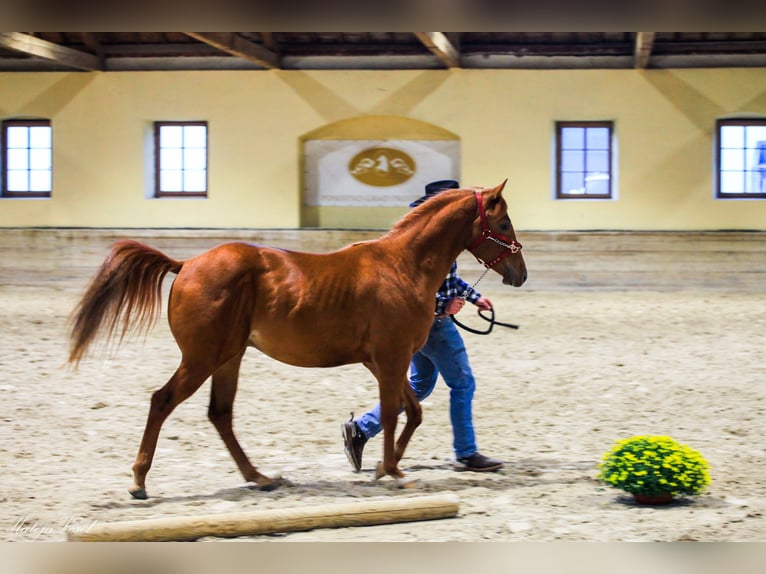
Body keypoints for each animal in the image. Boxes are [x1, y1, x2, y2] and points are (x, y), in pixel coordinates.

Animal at [67, 181, 528, 500]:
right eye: (503, 223)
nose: (520, 274)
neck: (402, 267)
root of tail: (187, 264)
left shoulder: (383, 361)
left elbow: (410, 412)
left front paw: (385, 466)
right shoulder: (391, 357)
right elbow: (394, 412)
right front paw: (393, 473)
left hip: (228, 358)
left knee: (220, 414)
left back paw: (261, 478)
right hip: (202, 358)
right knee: (163, 401)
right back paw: (139, 482)